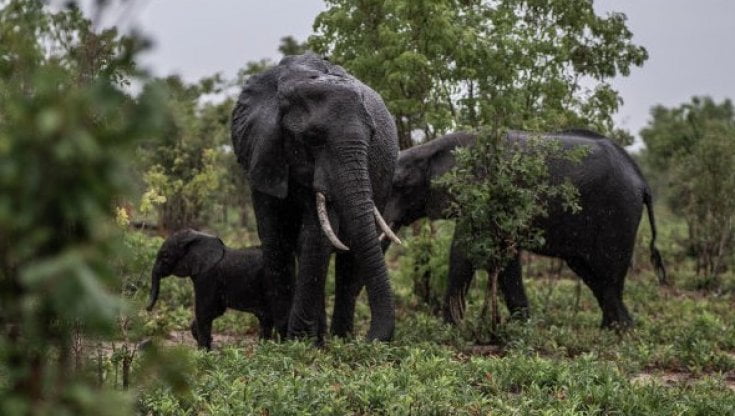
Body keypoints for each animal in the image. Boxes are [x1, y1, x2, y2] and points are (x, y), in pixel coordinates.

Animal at [231, 53, 400, 342]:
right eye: (312, 138)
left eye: (373, 136)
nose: (371, 338)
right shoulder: (262, 151)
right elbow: (275, 237)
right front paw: (284, 340)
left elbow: (315, 238)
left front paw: (297, 340)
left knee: (350, 256)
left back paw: (340, 339)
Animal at [380, 130, 668, 328]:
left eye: (399, 186)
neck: (431, 149)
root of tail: (642, 181)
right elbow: (503, 256)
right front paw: (522, 326)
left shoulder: (482, 193)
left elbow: (464, 253)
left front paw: (449, 329)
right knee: (592, 274)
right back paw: (614, 329)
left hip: (619, 213)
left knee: (608, 273)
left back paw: (619, 332)